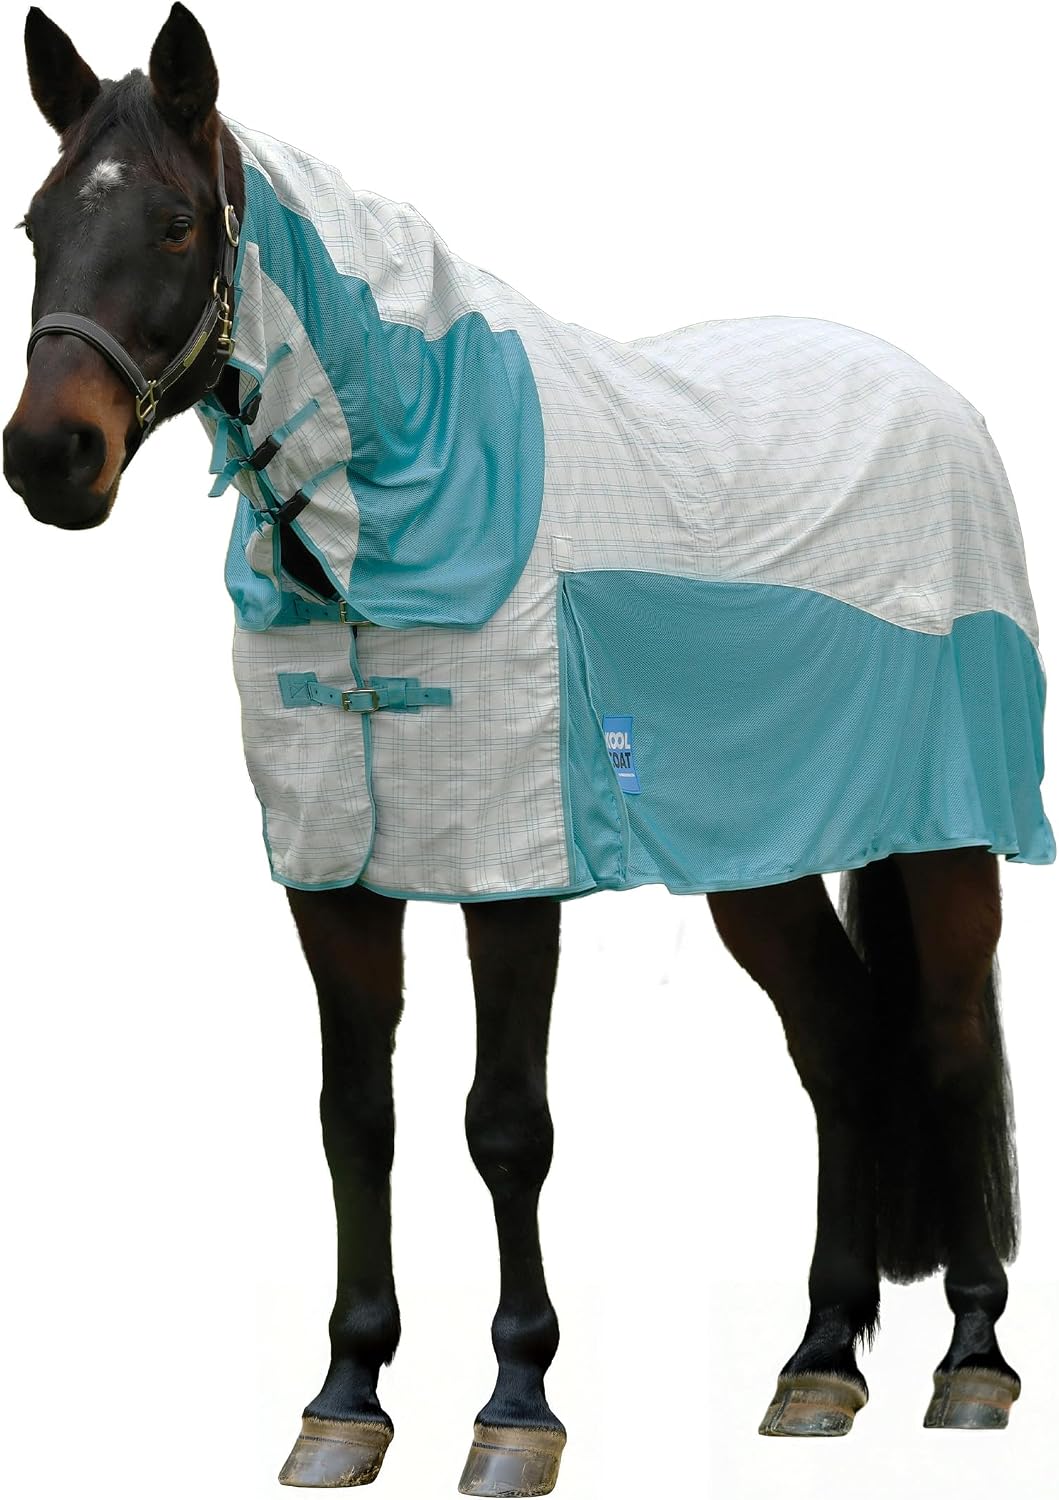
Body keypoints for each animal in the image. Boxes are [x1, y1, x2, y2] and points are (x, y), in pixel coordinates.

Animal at [4, 5, 1052, 1492]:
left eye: (170, 221)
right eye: (37, 222)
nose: (50, 458)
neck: (410, 475)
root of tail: (937, 399)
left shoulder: (505, 871)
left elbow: (505, 1125)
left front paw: (515, 1407)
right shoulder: (332, 878)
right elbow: (355, 1119)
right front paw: (345, 1398)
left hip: (948, 836)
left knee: (950, 1042)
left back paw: (969, 1363)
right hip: (760, 863)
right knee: (841, 1045)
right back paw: (815, 1366)